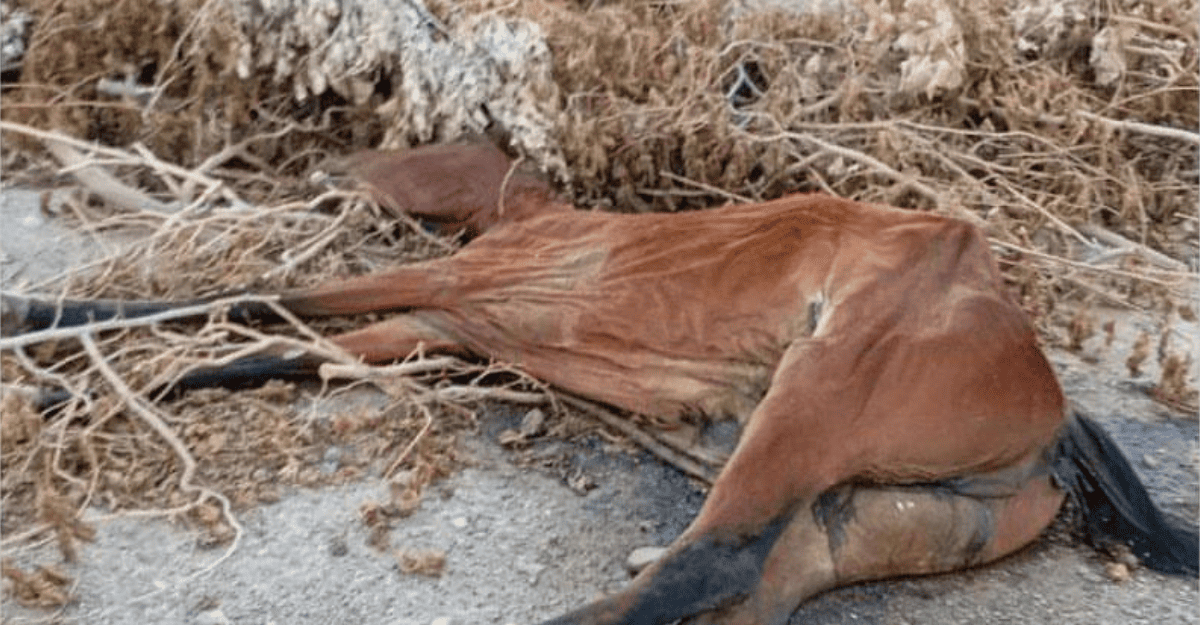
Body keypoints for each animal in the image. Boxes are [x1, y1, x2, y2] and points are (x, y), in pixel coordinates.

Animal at [3, 141, 1196, 625]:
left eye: (409, 148)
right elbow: (269, 349)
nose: (324, 165)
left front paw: (33, 327)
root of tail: (1055, 417)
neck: (534, 225)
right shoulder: (440, 325)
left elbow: (253, 294)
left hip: (817, 393)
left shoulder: (440, 284)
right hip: (865, 518)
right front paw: (66, 395)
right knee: (738, 584)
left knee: (710, 560)